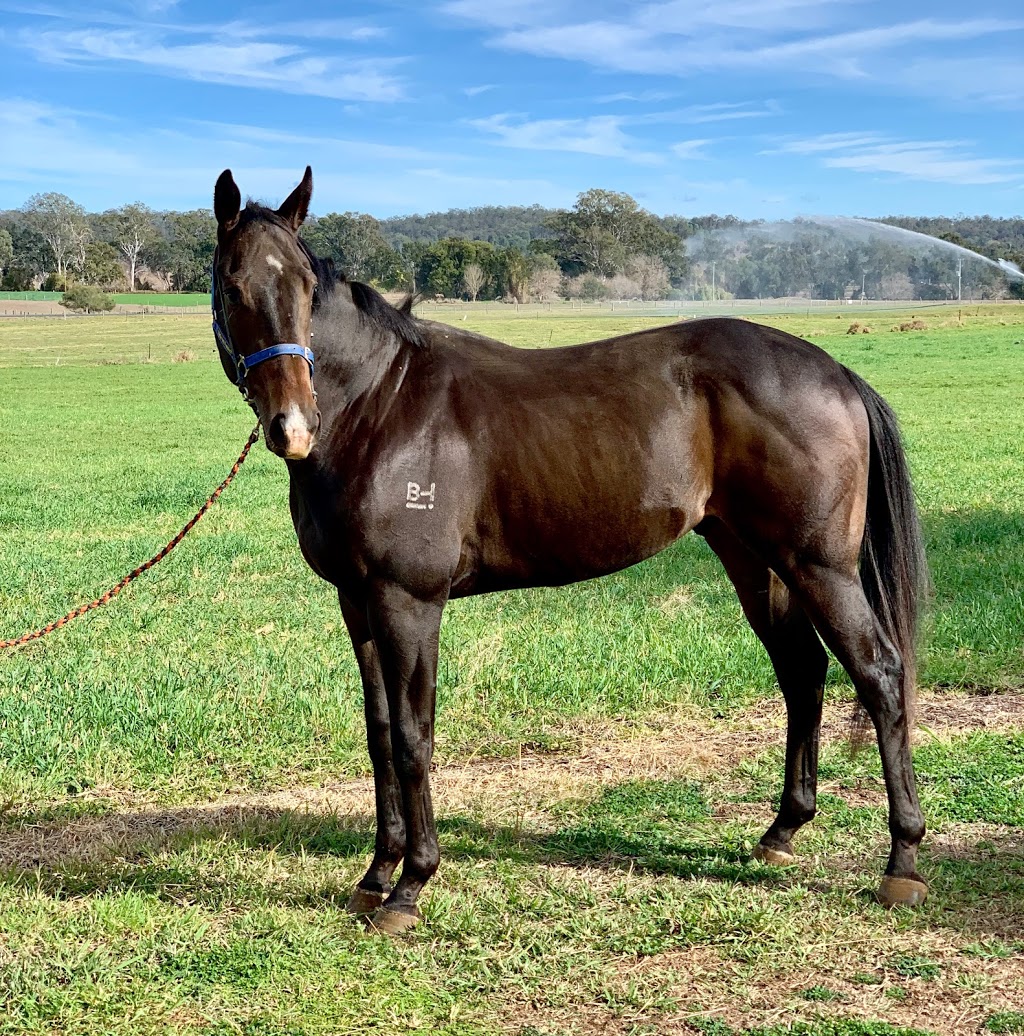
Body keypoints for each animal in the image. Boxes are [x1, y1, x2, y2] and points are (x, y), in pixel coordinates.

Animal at [212, 167, 932, 932]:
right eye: (232, 284)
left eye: (304, 287)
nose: (293, 426)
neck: (381, 404)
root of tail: (835, 372)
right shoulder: (358, 602)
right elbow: (380, 735)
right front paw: (377, 876)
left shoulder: (410, 602)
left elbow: (413, 737)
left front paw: (411, 885)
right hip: (754, 560)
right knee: (802, 671)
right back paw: (782, 831)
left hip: (819, 566)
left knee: (879, 675)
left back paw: (902, 862)